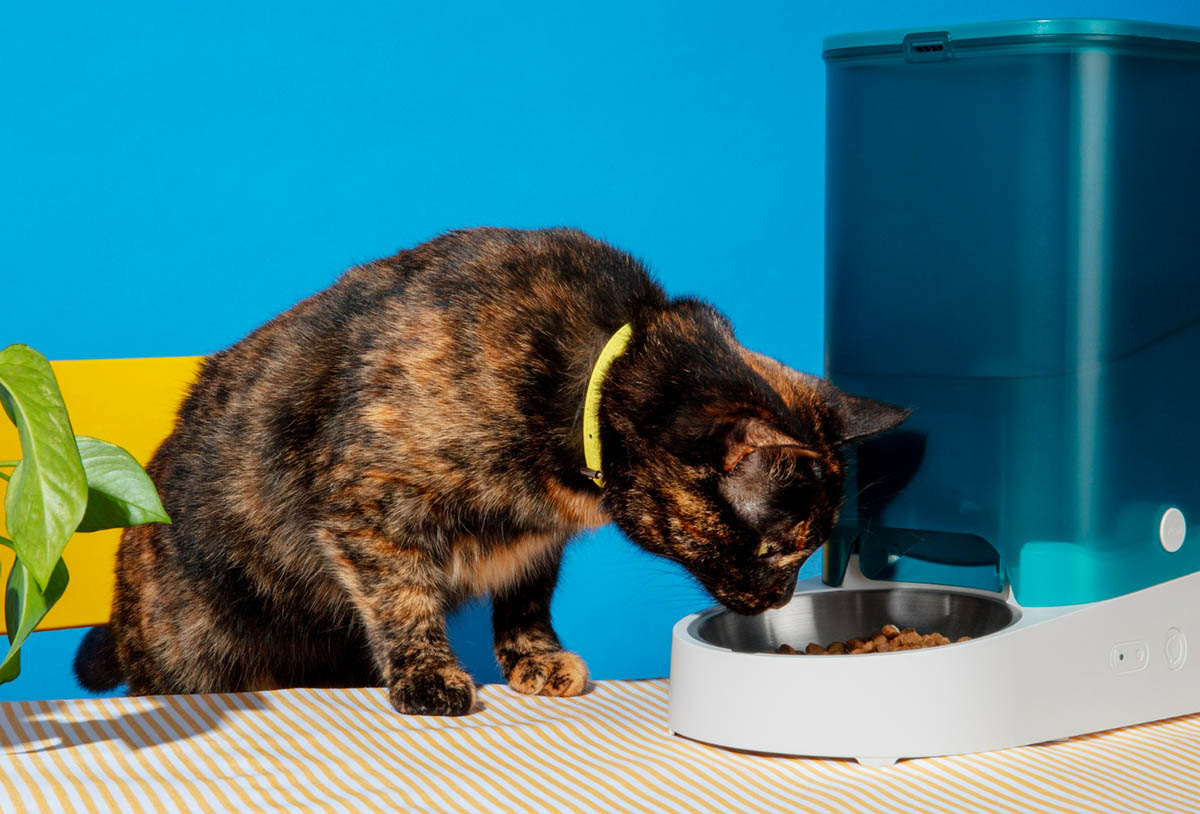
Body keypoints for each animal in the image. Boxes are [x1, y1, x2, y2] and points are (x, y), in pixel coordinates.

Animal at [70, 228, 902, 715]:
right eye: (779, 549)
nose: (781, 600)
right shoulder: (370, 510)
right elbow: (404, 601)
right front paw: (428, 677)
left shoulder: (536, 542)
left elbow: (526, 598)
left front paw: (535, 661)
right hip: (190, 658)